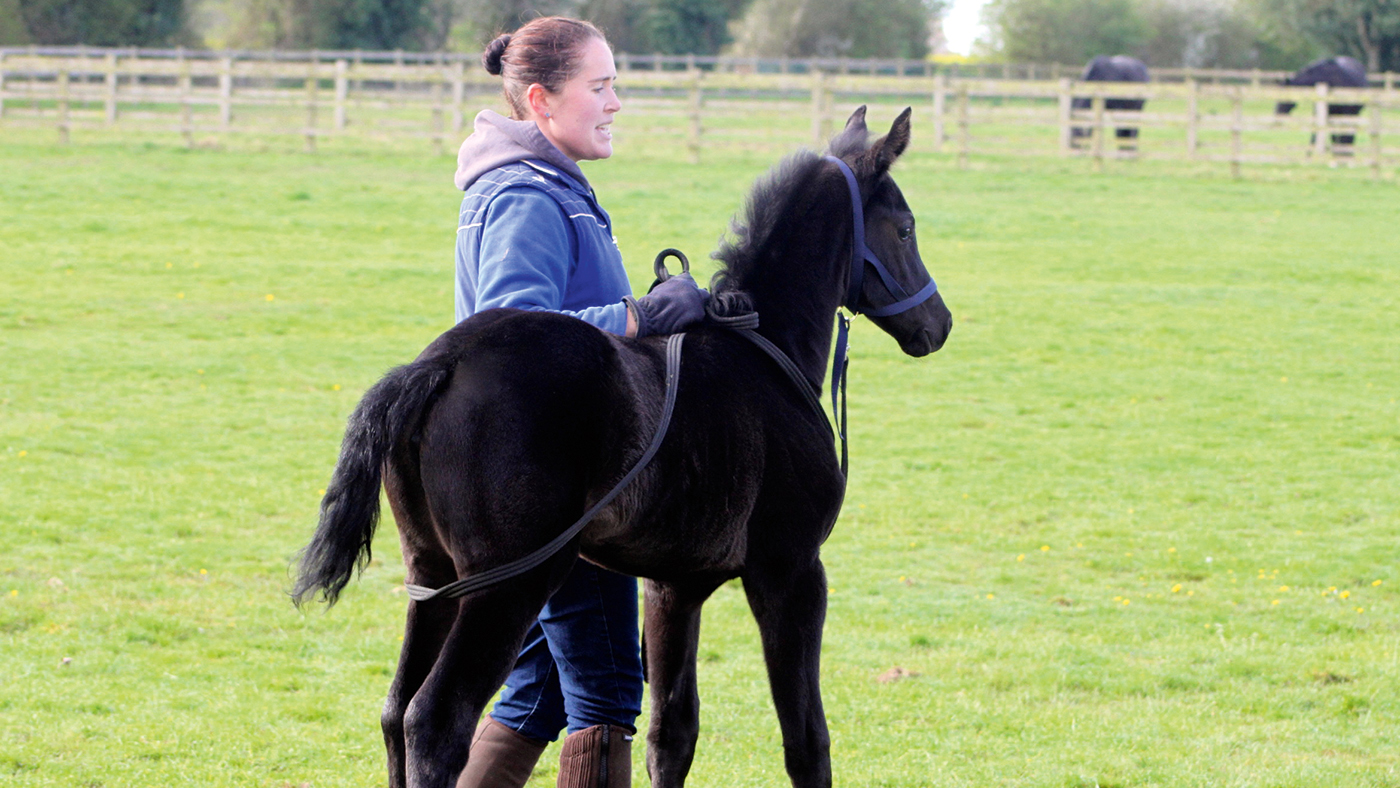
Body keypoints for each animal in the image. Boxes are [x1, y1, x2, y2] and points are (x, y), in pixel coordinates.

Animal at [292, 106, 953, 788]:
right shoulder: (791, 571)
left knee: (395, 711)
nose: (939, 324)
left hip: (432, 574)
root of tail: (442, 363)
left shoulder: (674, 588)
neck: (764, 352)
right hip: (509, 584)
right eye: (906, 229)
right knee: (434, 720)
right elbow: (806, 741)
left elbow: (671, 734)